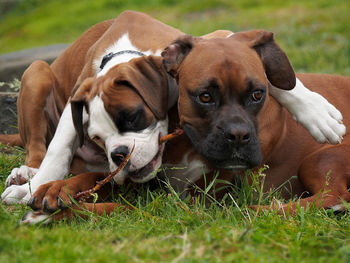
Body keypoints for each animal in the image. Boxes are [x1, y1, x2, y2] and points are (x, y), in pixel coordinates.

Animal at [0, 10, 344, 212]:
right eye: (96, 137)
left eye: (134, 116)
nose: (118, 154)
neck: (126, 53)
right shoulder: (77, 98)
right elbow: (58, 150)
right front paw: (32, 188)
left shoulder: (215, 39)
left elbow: (276, 80)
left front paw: (318, 114)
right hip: (37, 73)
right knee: (38, 147)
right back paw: (27, 173)